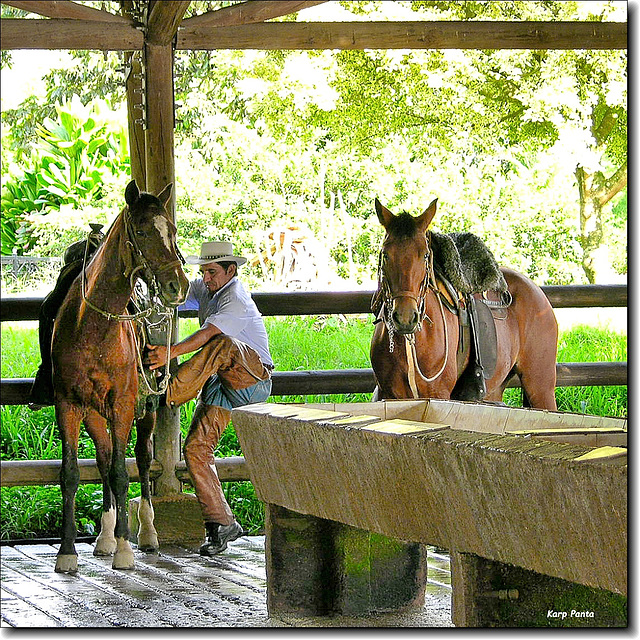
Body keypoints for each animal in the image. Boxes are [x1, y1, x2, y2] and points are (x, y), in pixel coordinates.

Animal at [52, 181, 188, 576]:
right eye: (141, 231)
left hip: (146, 409)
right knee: (104, 456)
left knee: (141, 460)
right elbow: (72, 474)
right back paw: (106, 535)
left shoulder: (124, 404)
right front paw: (68, 551)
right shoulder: (68, 404)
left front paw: (126, 549)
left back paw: (147, 533)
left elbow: (121, 472)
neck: (95, 327)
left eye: (172, 230)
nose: (177, 286)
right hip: (96, 414)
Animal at [370, 200, 560, 408]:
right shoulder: (389, 395)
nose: (405, 317)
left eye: (425, 255)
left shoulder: (438, 395)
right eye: (385, 254)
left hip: (540, 388)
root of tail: (538, 293)